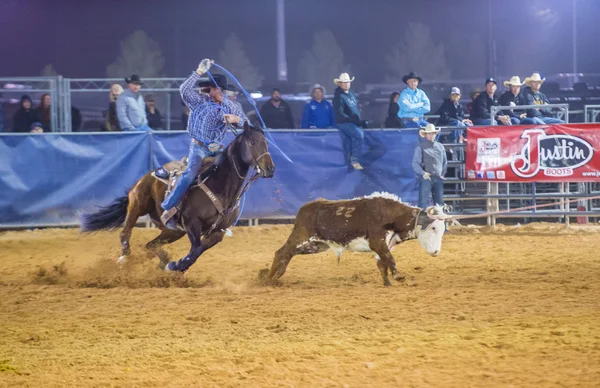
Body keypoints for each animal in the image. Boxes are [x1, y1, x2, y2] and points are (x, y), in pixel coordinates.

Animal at [81, 123, 276, 272]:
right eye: (252, 142)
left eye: (266, 143)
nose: (270, 169)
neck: (221, 187)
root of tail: (148, 175)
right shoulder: (192, 223)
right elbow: (195, 249)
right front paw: (176, 266)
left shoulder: (218, 232)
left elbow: (197, 252)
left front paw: (176, 266)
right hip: (137, 206)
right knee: (125, 233)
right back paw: (125, 258)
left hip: (173, 230)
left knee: (151, 245)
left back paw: (161, 260)